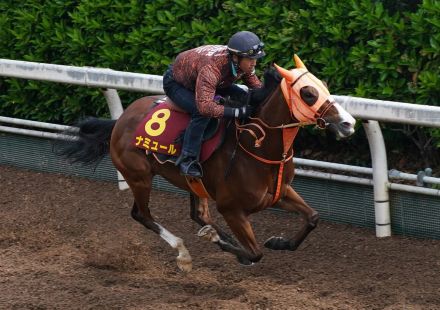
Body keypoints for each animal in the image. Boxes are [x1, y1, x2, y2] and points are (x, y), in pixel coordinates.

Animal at [55, 55, 358, 272]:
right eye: (308, 93)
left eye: (325, 87)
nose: (348, 123)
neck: (255, 147)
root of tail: (120, 120)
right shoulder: (231, 208)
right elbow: (255, 252)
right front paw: (224, 244)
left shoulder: (279, 193)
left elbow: (312, 217)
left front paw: (278, 241)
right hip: (138, 176)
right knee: (142, 215)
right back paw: (184, 253)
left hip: (193, 184)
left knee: (198, 214)